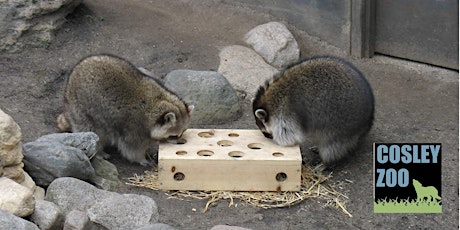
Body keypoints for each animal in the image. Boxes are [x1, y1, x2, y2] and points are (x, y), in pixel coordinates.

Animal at [58, 54, 193, 165]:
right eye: (173, 136)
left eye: (182, 132)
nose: (181, 143)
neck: (157, 102)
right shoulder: (134, 127)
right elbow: (132, 148)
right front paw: (141, 158)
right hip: (80, 108)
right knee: (90, 131)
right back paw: (99, 151)